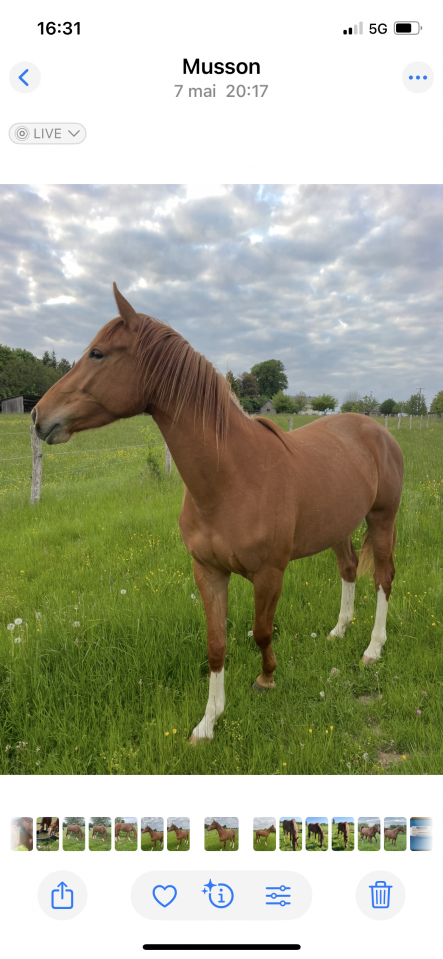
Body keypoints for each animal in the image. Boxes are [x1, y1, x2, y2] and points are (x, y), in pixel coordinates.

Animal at [33, 283, 404, 744]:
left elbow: (262, 631)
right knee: (350, 568)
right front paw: (208, 722)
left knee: (383, 577)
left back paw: (373, 648)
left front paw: (266, 679)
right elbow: (216, 645)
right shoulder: (207, 572)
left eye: (98, 353)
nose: (38, 415)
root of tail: (378, 431)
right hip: (339, 527)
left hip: (382, 518)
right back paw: (339, 630)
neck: (233, 477)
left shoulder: (269, 574)